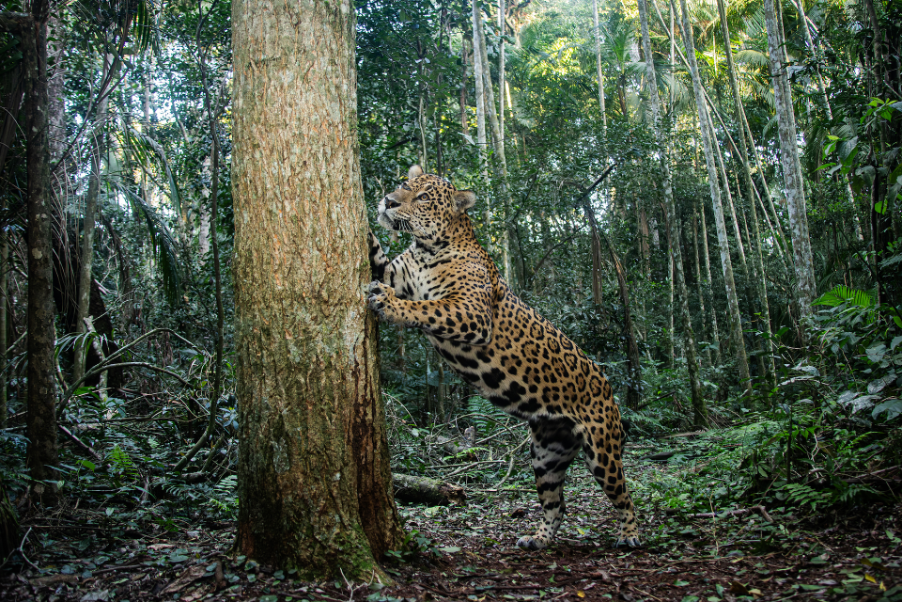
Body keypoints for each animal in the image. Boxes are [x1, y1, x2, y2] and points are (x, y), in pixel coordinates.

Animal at [367, 165, 641, 550]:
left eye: (422, 198)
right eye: (404, 185)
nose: (388, 201)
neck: (426, 248)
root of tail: (608, 386)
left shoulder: (471, 312)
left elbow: (426, 308)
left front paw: (389, 303)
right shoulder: (394, 272)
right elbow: (377, 256)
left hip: (602, 452)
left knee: (624, 493)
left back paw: (630, 534)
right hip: (546, 454)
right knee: (557, 504)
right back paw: (538, 539)